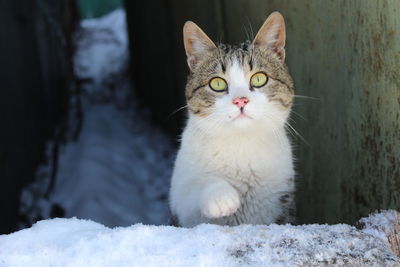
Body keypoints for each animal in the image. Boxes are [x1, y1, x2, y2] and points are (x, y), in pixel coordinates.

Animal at [167, 11, 296, 227]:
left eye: (259, 79)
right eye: (217, 83)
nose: (240, 100)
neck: (241, 145)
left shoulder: (281, 199)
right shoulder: (180, 202)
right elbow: (193, 188)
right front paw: (221, 197)